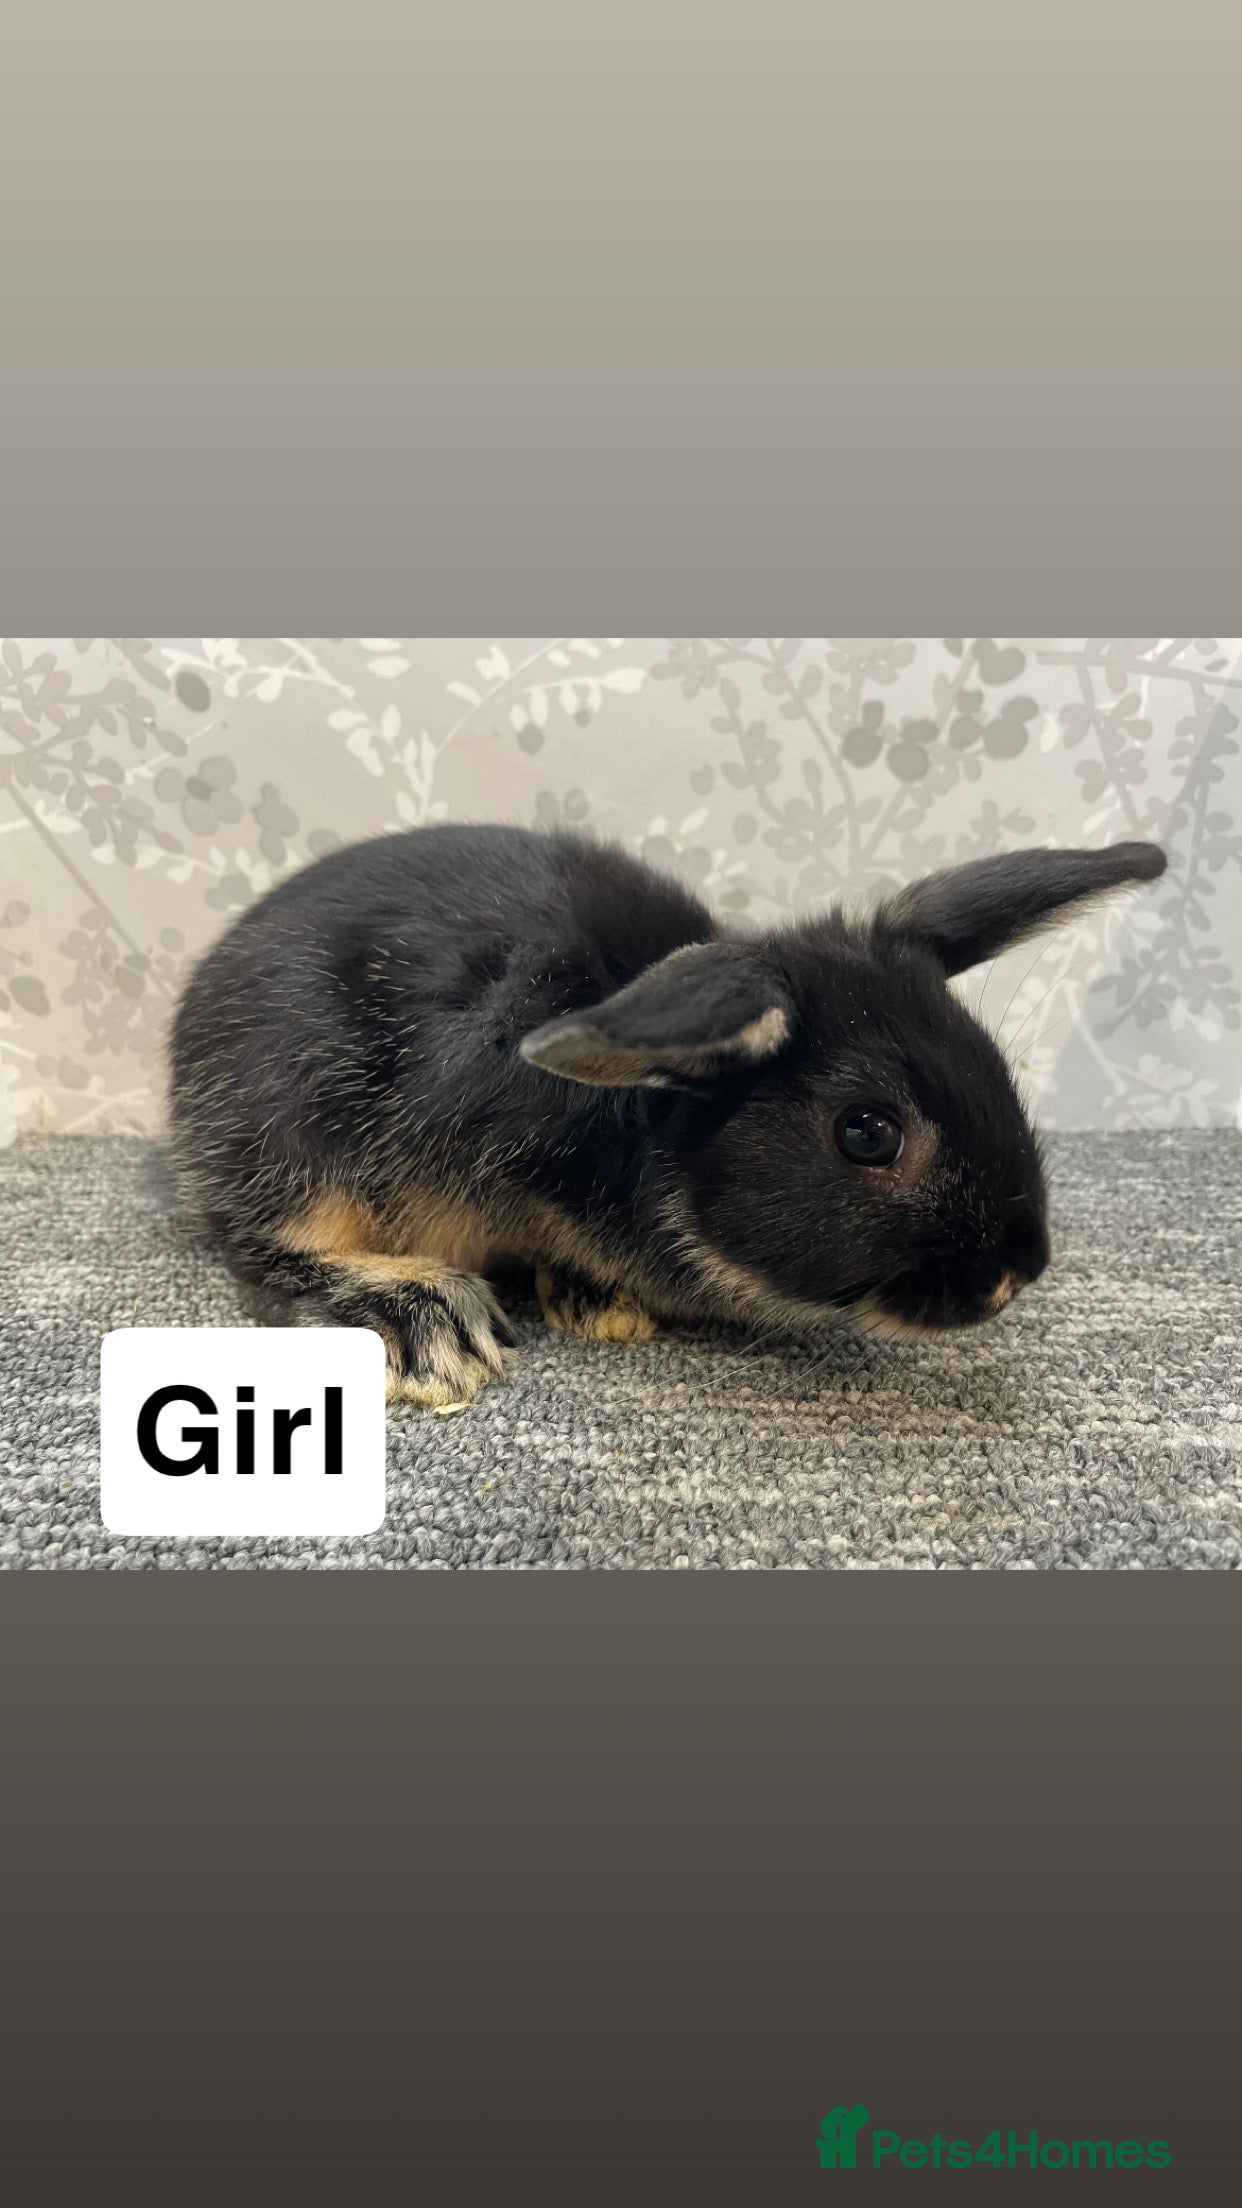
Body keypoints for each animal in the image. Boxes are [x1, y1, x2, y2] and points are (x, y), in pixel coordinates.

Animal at [167, 823, 1167, 1410]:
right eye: (867, 1132)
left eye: (995, 1064)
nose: (1017, 1273)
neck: (636, 1124)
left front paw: (601, 1303)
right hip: (291, 1130)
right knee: (266, 1250)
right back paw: (432, 1328)